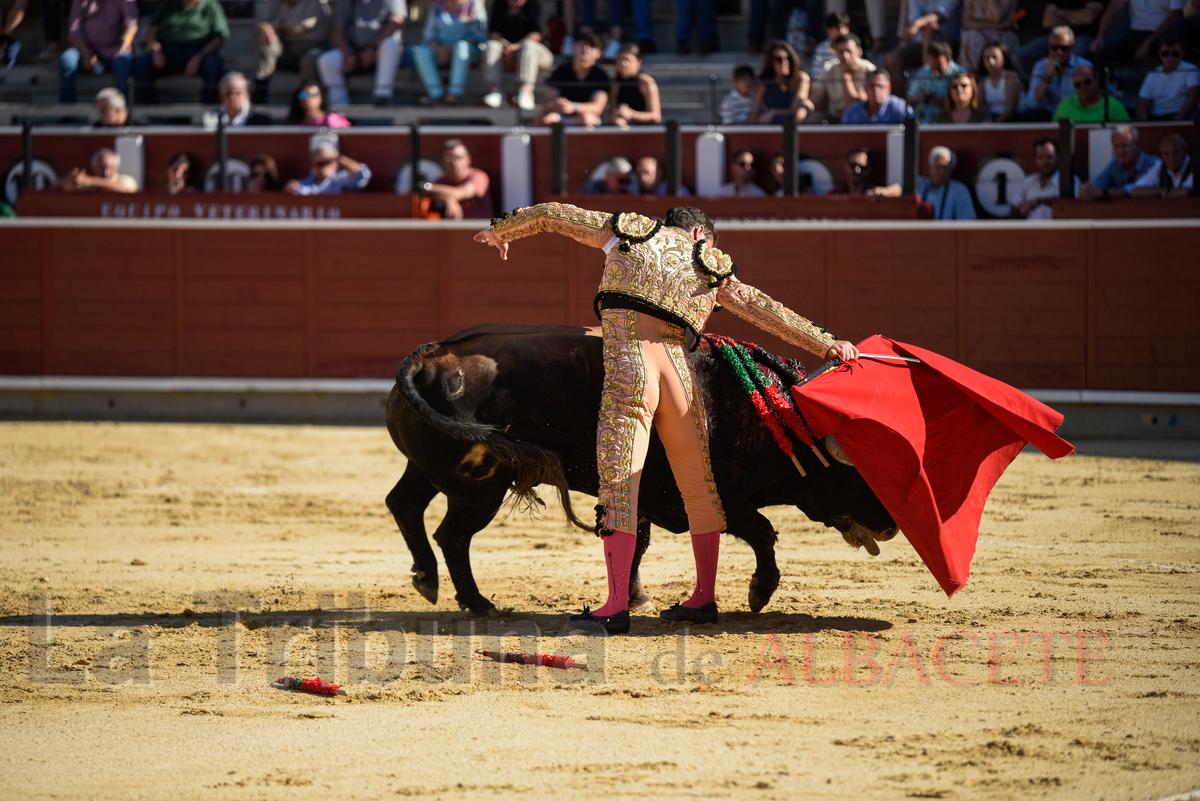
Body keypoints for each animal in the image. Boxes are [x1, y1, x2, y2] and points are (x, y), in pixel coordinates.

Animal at [379, 321, 897, 618]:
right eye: (859, 474)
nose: (892, 527)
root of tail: (429, 357)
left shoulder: (645, 494)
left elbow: (636, 543)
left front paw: (635, 598)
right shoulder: (713, 497)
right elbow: (762, 531)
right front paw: (759, 593)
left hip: (431, 469)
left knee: (403, 503)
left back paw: (426, 580)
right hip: (480, 488)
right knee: (452, 535)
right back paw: (477, 603)